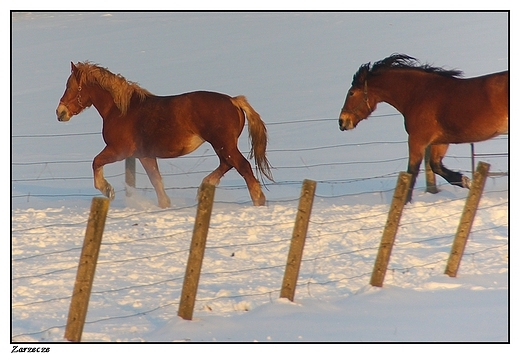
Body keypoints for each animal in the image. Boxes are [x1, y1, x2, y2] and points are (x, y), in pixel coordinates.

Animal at [56, 62, 274, 207]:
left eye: (70, 86)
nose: (60, 113)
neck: (120, 110)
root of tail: (234, 101)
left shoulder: (118, 150)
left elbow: (96, 162)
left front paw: (107, 189)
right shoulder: (144, 155)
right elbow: (156, 180)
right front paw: (165, 205)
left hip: (223, 144)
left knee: (242, 166)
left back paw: (258, 201)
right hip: (222, 146)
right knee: (227, 165)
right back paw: (204, 190)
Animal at [338, 52, 508, 202]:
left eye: (351, 93)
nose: (342, 122)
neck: (419, 94)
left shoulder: (417, 140)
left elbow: (411, 173)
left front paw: (405, 203)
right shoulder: (440, 141)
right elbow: (435, 166)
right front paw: (465, 181)